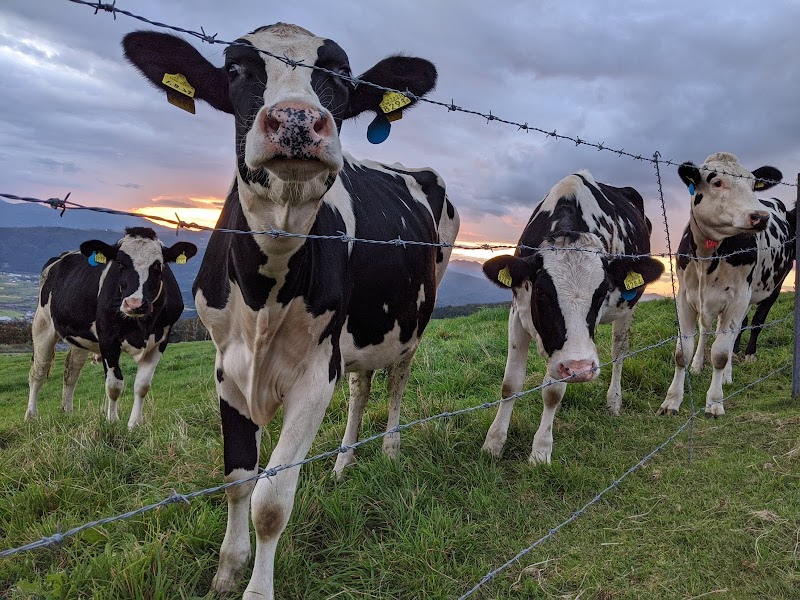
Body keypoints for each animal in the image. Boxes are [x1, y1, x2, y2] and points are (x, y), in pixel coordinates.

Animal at [28, 227, 198, 428]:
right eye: (120, 263)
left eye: (157, 265)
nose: (134, 304)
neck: (140, 325)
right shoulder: (108, 340)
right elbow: (114, 385)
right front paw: (112, 421)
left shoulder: (160, 341)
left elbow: (142, 385)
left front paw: (134, 424)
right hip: (42, 325)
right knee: (38, 372)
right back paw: (31, 416)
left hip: (80, 339)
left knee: (71, 371)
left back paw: (67, 413)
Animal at [122, 22, 460, 596]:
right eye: (235, 70)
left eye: (341, 77)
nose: (298, 120)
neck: (269, 283)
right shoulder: (227, 369)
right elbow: (238, 481)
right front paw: (226, 572)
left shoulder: (314, 373)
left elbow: (271, 501)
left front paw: (256, 588)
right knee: (361, 386)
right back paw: (343, 462)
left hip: (413, 319)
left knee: (395, 382)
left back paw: (389, 450)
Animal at [482, 172, 664, 464]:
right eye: (542, 293)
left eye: (601, 292)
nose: (580, 369)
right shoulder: (518, 312)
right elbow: (510, 383)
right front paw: (493, 443)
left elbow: (553, 392)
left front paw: (541, 450)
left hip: (629, 308)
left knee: (619, 351)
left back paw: (614, 400)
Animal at [656, 152, 792, 420]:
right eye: (716, 182)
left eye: (753, 184)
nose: (760, 216)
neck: (707, 255)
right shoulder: (684, 298)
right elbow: (682, 352)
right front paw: (672, 400)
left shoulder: (737, 299)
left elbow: (720, 353)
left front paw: (714, 402)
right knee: (711, 329)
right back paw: (699, 365)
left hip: (773, 287)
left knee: (750, 325)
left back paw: (741, 361)